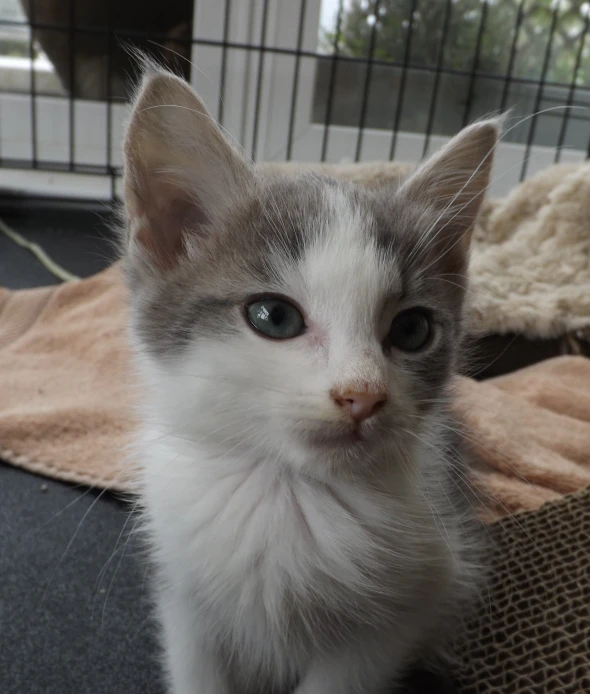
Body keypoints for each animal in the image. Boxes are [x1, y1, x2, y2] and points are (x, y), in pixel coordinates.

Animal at [120, 66, 500, 694]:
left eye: (413, 329)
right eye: (274, 317)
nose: (363, 394)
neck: (288, 493)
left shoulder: (403, 611)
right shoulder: (184, 594)